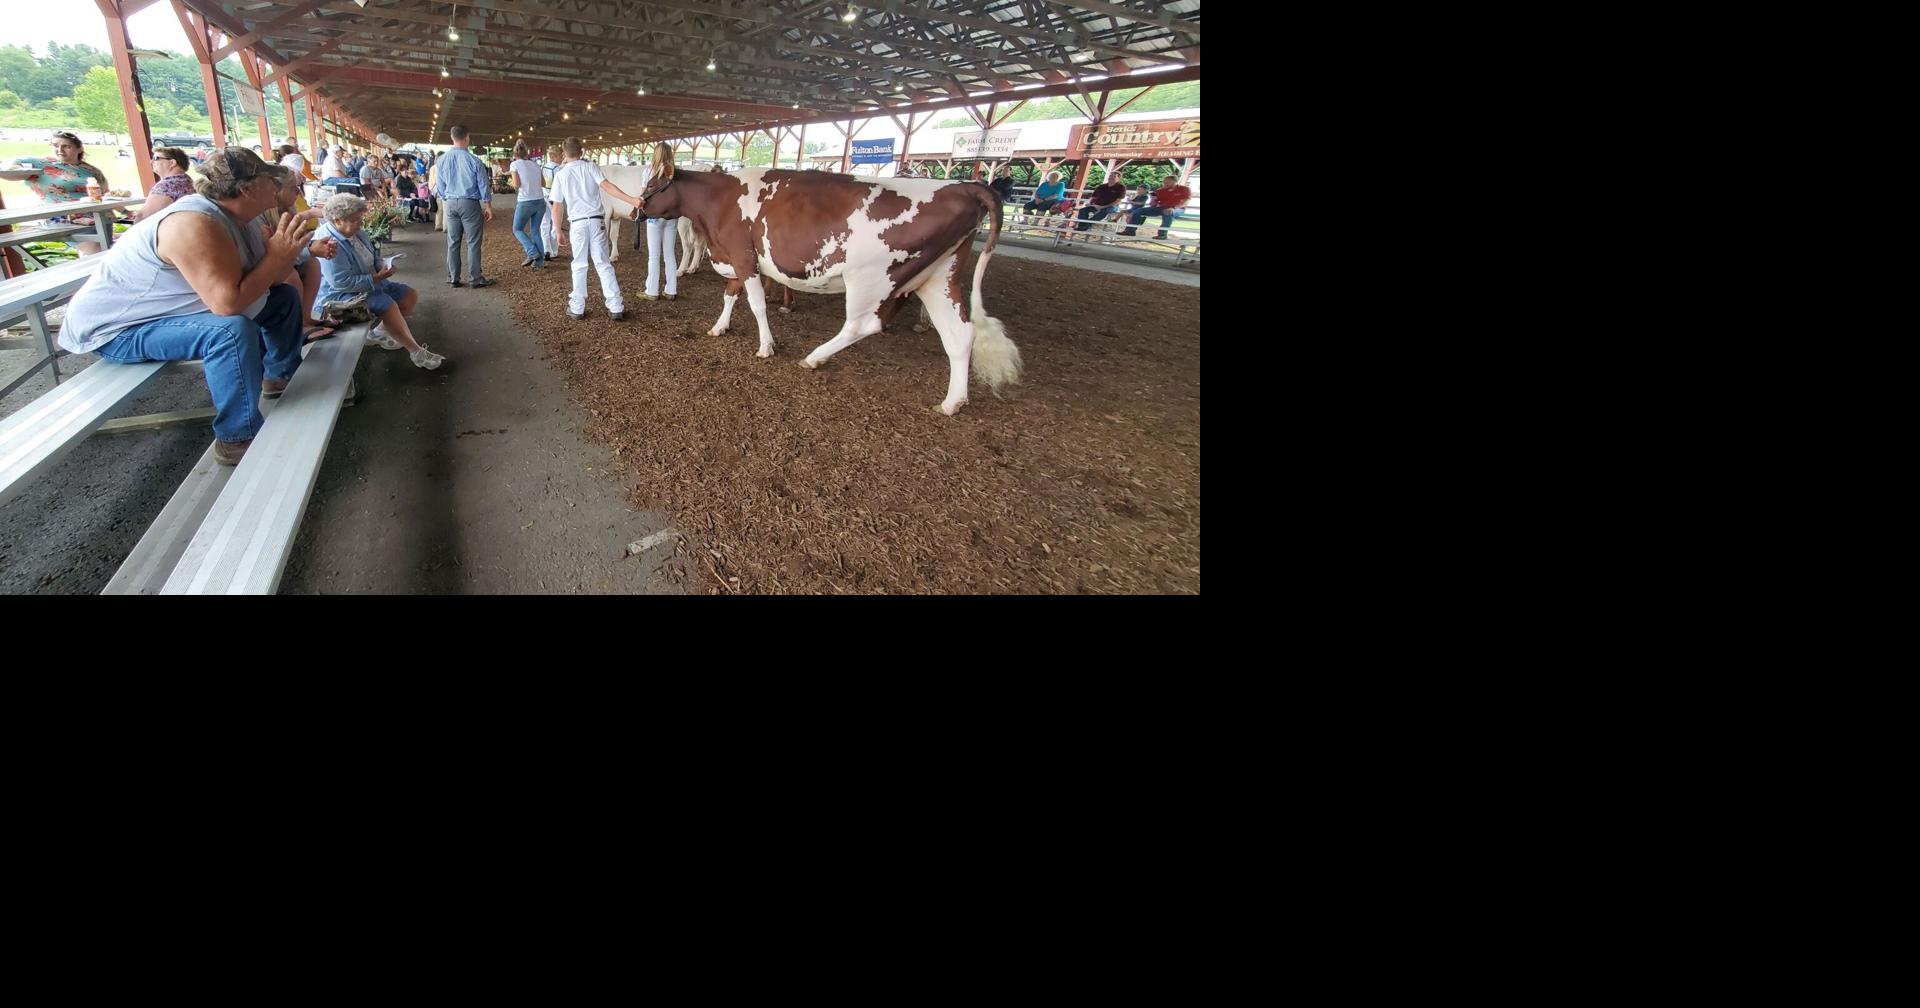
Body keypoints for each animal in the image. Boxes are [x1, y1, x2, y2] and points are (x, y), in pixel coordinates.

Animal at [633, 168, 1021, 412]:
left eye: (653, 183)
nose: (638, 209)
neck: (721, 201)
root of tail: (964, 186)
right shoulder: (738, 258)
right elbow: (730, 294)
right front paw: (720, 327)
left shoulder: (744, 257)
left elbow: (756, 304)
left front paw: (766, 346)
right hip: (939, 277)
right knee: (959, 335)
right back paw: (953, 402)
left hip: (870, 277)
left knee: (863, 325)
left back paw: (814, 357)